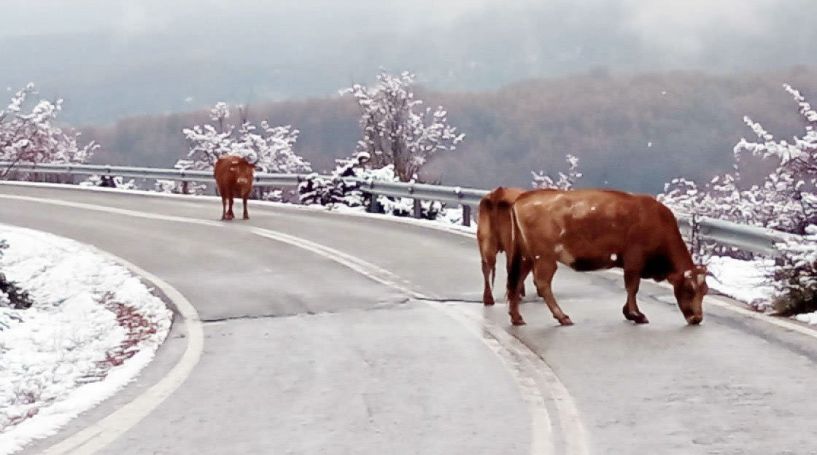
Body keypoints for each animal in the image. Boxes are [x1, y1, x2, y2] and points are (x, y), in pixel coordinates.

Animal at [504, 189, 708, 328]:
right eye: (689, 289)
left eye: (705, 291)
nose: (697, 318)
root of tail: (523, 197)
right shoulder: (634, 260)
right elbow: (632, 287)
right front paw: (635, 314)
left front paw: (629, 313)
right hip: (545, 257)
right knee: (542, 284)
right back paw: (562, 317)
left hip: (527, 257)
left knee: (516, 281)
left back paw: (516, 318)